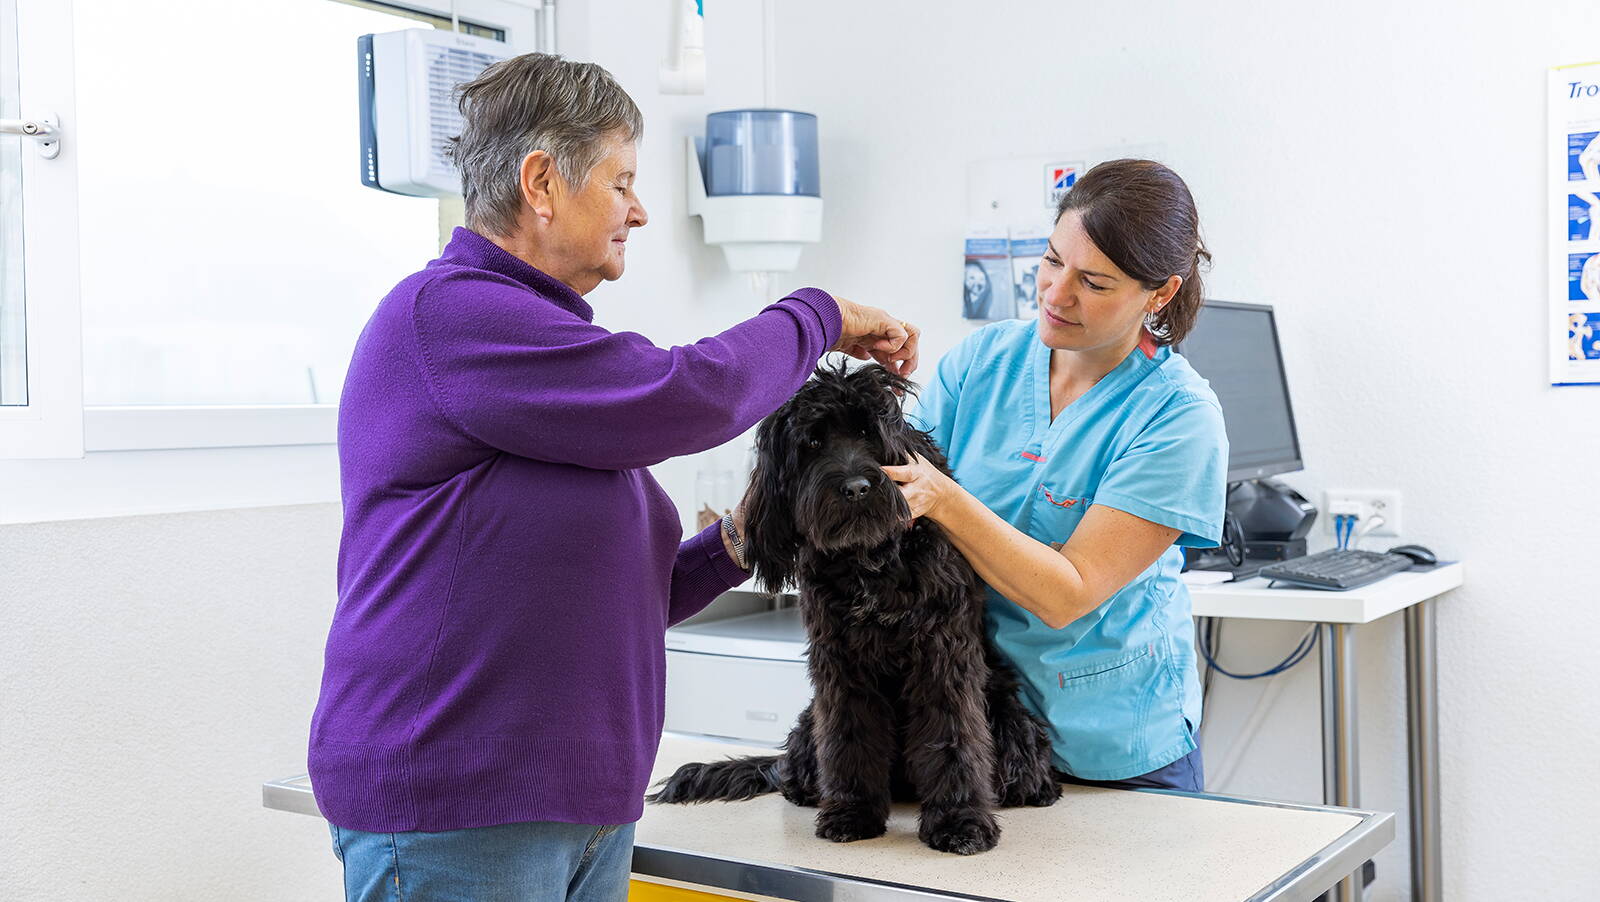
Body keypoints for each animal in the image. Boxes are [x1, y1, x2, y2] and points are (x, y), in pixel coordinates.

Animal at [649, 361, 1062, 850]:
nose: (857, 488)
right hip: (809, 727)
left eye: (869, 433)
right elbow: (851, 735)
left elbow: (954, 735)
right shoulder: (840, 662)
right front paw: (853, 811)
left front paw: (960, 820)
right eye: (811, 443)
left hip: (1010, 722)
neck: (871, 560)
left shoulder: (942, 653)